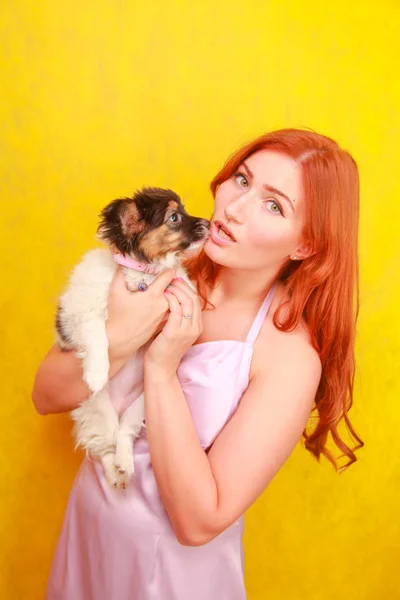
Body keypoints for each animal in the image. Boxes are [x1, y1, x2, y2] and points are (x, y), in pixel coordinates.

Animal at [55, 188, 209, 488]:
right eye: (174, 217)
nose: (209, 223)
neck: (143, 274)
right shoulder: (80, 313)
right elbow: (97, 333)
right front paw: (97, 373)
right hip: (95, 410)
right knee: (105, 447)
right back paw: (115, 473)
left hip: (141, 404)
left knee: (123, 433)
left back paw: (123, 464)